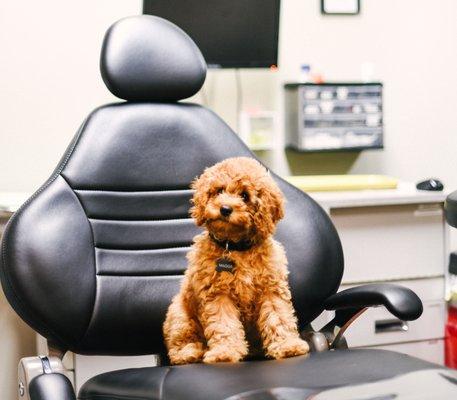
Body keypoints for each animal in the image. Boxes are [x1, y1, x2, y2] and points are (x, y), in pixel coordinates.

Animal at [162, 158, 308, 364]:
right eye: (219, 190)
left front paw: (288, 345)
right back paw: (190, 353)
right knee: (179, 344)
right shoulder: (217, 294)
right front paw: (225, 351)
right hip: (179, 315)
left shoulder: (271, 289)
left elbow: (278, 317)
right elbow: (224, 324)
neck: (234, 247)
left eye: (245, 195)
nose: (225, 209)